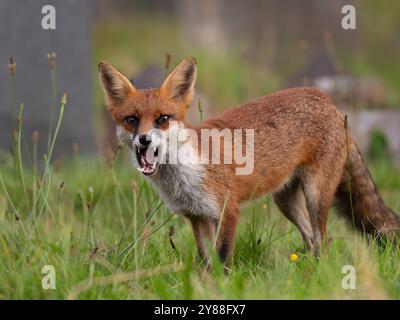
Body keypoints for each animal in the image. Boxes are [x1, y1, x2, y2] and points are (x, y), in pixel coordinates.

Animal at [98, 57, 398, 268]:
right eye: (132, 120)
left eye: (162, 119)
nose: (144, 140)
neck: (185, 175)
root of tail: (328, 100)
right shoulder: (197, 216)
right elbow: (207, 262)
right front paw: (207, 288)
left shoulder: (229, 211)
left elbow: (222, 260)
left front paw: (223, 289)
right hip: (285, 201)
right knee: (312, 239)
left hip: (316, 195)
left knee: (323, 240)